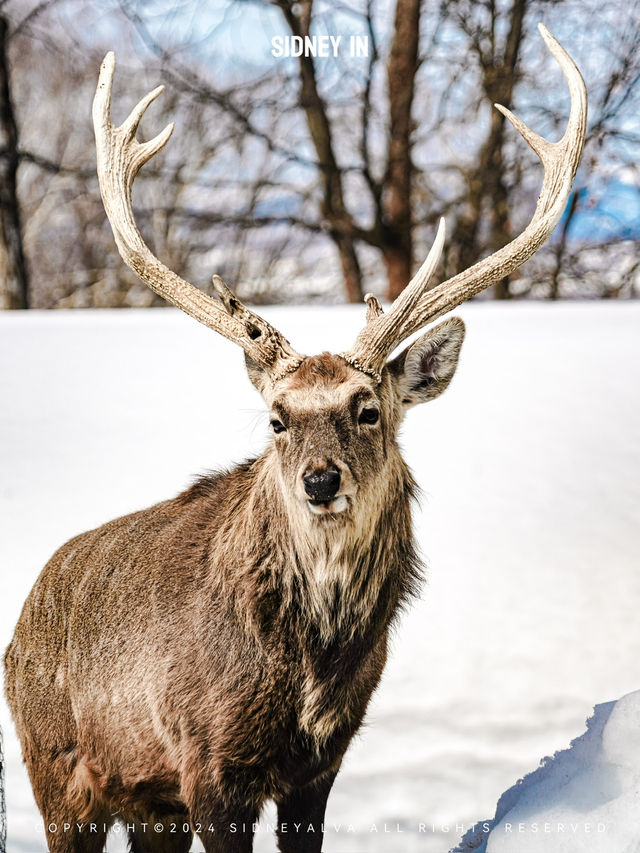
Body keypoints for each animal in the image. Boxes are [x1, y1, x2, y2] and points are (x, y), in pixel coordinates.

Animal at [3, 25, 584, 852]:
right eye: (277, 418)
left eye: (367, 408)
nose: (319, 479)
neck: (310, 668)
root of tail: (22, 615)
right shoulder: (207, 759)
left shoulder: (321, 761)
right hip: (57, 767)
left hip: (147, 803)